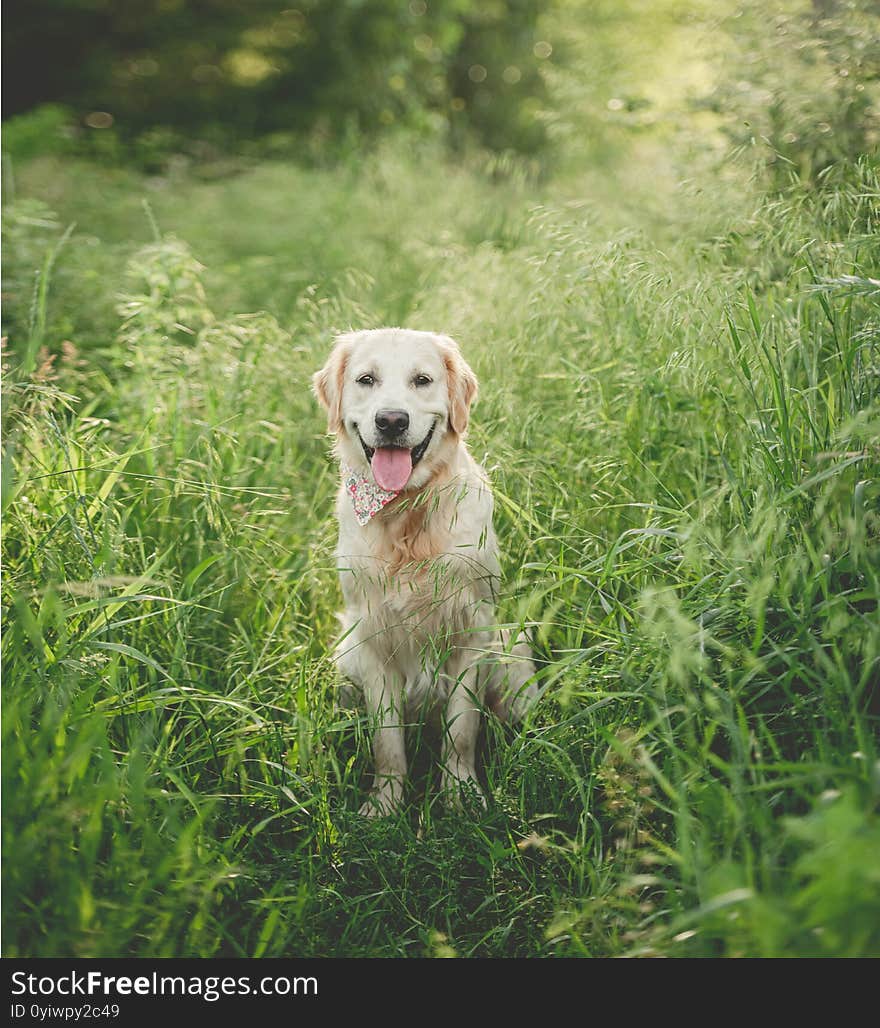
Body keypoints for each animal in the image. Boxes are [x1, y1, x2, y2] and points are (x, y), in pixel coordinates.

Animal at [316, 324, 534, 814]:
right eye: (366, 380)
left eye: (422, 380)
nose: (392, 421)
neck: (407, 515)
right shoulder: (372, 637)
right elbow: (387, 742)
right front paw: (385, 804)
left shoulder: (472, 629)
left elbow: (462, 730)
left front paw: (461, 795)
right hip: (345, 654)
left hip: (512, 649)